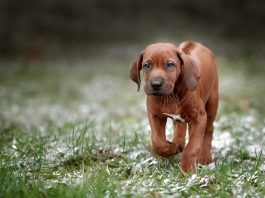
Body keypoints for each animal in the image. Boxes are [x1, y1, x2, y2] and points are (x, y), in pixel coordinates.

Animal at [129, 41, 218, 172]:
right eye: (146, 65)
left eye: (170, 65)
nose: (156, 84)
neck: (171, 97)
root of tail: (195, 43)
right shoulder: (155, 115)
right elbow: (157, 141)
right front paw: (171, 148)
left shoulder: (199, 118)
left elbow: (192, 148)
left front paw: (187, 170)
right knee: (180, 127)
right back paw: (178, 143)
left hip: (212, 102)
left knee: (209, 130)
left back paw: (205, 158)